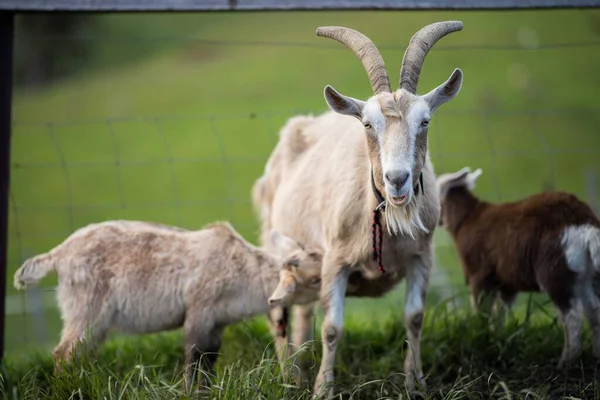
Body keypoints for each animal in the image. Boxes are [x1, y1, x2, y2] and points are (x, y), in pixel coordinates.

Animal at [12, 219, 324, 390]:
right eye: (316, 279)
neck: (244, 273)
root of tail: (58, 254)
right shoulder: (199, 310)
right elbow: (193, 359)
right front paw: (189, 392)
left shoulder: (216, 323)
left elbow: (208, 361)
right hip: (86, 307)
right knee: (63, 353)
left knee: (79, 353)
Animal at [252, 21, 464, 396]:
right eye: (367, 124)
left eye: (424, 121)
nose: (397, 179)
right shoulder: (335, 261)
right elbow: (332, 327)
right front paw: (324, 390)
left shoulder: (421, 256)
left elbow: (415, 318)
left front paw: (415, 383)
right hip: (278, 245)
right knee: (279, 311)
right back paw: (289, 378)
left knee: (302, 314)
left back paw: (300, 373)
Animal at [436, 166, 600, 368]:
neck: (467, 218)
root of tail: (584, 222)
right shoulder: (507, 283)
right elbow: (500, 312)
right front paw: (496, 339)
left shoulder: (479, 274)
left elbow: (482, 309)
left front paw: (480, 337)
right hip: (584, 273)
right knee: (594, 310)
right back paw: (596, 356)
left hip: (555, 268)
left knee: (572, 315)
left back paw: (566, 361)